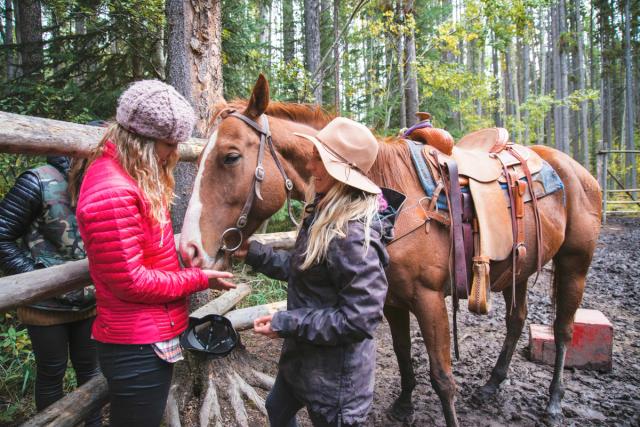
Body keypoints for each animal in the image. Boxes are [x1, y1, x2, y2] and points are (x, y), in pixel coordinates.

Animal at [179, 75, 600, 426]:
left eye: (231, 156)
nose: (190, 249)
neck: (386, 201)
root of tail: (575, 169)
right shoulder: (393, 299)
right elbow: (400, 353)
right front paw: (403, 405)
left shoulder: (429, 299)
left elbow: (442, 376)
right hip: (520, 267)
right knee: (516, 320)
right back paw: (493, 384)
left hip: (575, 264)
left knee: (563, 329)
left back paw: (554, 402)